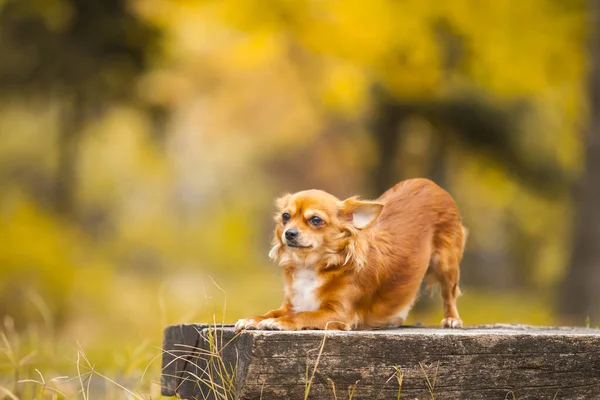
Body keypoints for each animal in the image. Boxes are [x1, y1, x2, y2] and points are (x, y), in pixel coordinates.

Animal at [236, 178, 468, 332]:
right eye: (286, 217)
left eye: (316, 220)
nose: (289, 233)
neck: (312, 266)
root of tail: (430, 183)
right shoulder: (292, 304)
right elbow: (273, 312)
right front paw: (254, 319)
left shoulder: (337, 314)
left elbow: (304, 315)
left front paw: (279, 322)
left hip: (446, 263)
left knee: (449, 294)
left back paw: (452, 319)